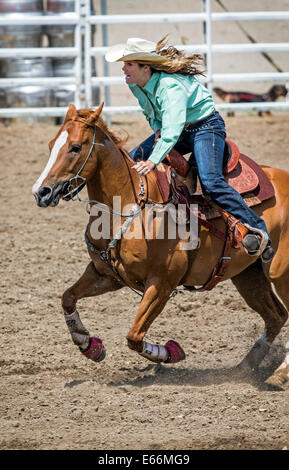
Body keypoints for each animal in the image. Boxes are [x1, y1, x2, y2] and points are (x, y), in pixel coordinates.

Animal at [32, 104, 288, 388]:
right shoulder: (106, 275)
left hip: (279, 272)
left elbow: (134, 336)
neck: (131, 206)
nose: (41, 192)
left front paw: (171, 352)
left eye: (75, 147)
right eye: (52, 144)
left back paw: (279, 374)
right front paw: (88, 344)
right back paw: (246, 367)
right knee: (276, 316)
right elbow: (68, 297)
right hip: (247, 276)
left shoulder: (161, 284)